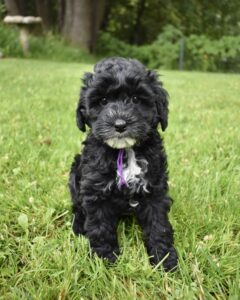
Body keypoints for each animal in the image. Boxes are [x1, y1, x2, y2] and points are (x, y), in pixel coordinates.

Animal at [68, 56, 177, 272]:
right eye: (103, 101)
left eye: (135, 99)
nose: (119, 125)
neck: (126, 150)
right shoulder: (95, 191)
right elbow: (100, 227)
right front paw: (104, 259)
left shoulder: (155, 189)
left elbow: (159, 225)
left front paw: (165, 259)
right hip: (75, 171)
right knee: (77, 205)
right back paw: (78, 226)